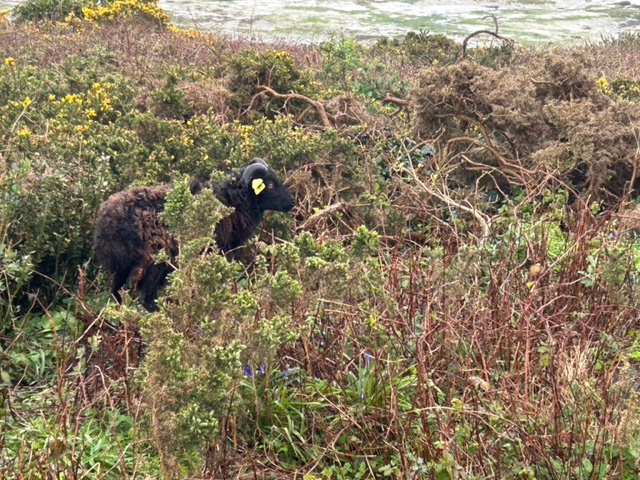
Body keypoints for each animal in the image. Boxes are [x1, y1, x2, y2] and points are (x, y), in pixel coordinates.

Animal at [94, 159, 295, 311]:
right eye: (270, 184)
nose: (292, 201)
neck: (231, 203)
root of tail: (107, 224)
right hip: (153, 260)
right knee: (145, 295)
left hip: (122, 265)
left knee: (117, 291)